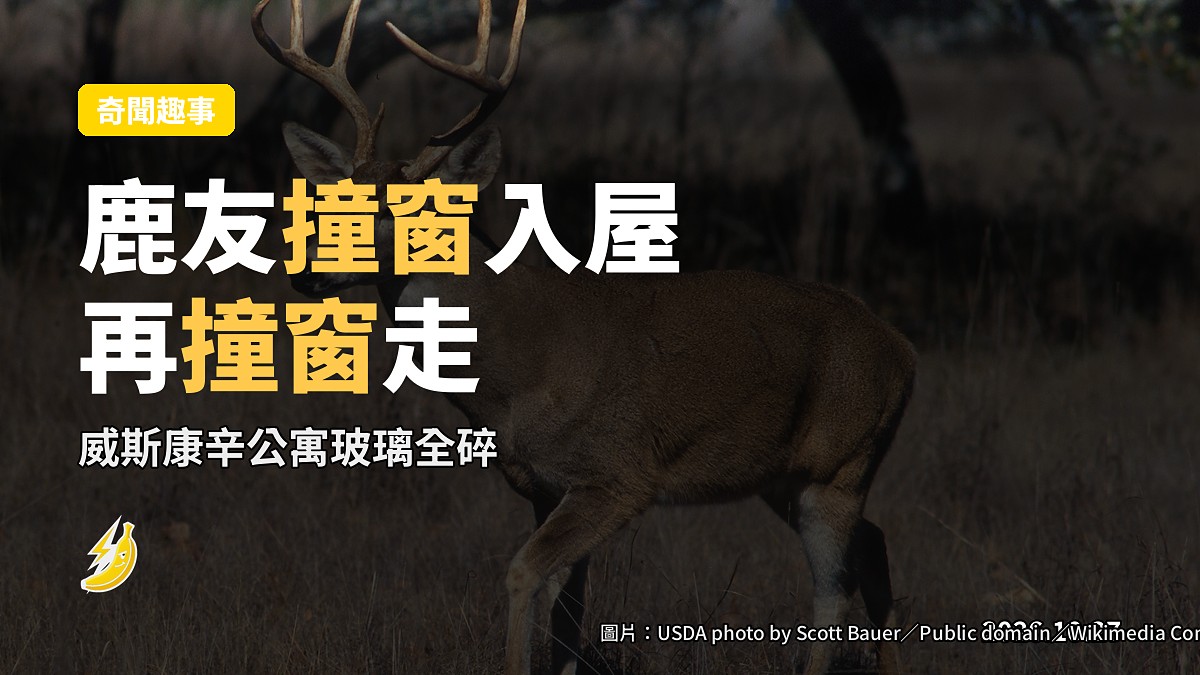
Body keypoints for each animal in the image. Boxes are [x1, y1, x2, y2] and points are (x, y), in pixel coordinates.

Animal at [252, 1, 915, 673]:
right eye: (332, 199)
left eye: (399, 210)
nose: (305, 272)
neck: (513, 375)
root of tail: (902, 348)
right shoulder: (541, 485)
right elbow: (567, 609)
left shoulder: (617, 474)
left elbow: (524, 575)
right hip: (785, 476)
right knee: (876, 546)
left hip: (840, 463)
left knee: (833, 592)